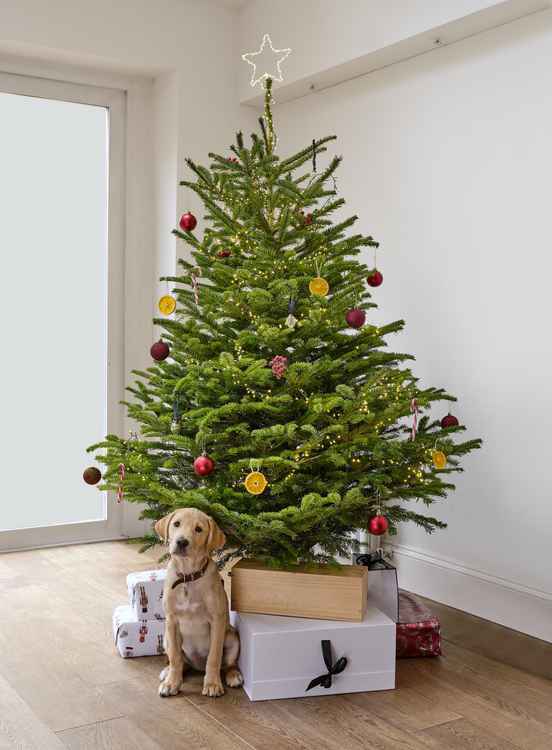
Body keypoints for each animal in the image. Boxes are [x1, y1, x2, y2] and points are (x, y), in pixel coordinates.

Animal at [154, 508, 243, 704]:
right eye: (176, 524)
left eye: (199, 529)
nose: (181, 542)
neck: (188, 576)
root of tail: (197, 666)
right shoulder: (171, 621)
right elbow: (175, 657)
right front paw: (172, 683)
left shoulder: (217, 621)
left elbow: (214, 657)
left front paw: (212, 684)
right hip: (166, 638)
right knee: (180, 662)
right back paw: (168, 673)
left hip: (232, 637)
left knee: (229, 663)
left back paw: (233, 676)